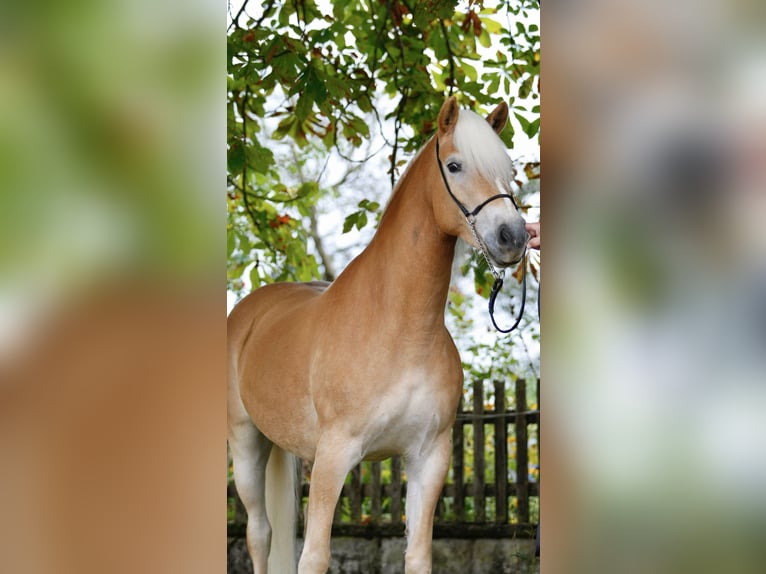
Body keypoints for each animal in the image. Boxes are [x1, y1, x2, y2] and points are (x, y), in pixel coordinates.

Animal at [228, 97, 528, 572]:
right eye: (455, 165)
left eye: (511, 171)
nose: (513, 237)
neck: (399, 330)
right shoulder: (335, 456)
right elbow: (314, 557)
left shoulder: (429, 459)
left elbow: (418, 556)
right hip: (245, 444)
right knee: (259, 534)